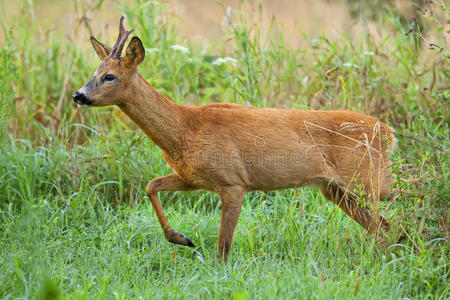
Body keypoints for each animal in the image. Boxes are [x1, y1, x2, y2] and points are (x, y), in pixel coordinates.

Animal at [74, 17, 398, 264]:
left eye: (110, 76)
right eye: (94, 72)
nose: (79, 95)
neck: (184, 130)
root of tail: (387, 131)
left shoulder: (233, 180)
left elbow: (223, 244)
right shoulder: (194, 178)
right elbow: (151, 186)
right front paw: (181, 239)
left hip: (368, 177)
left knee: (399, 200)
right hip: (336, 189)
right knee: (382, 226)